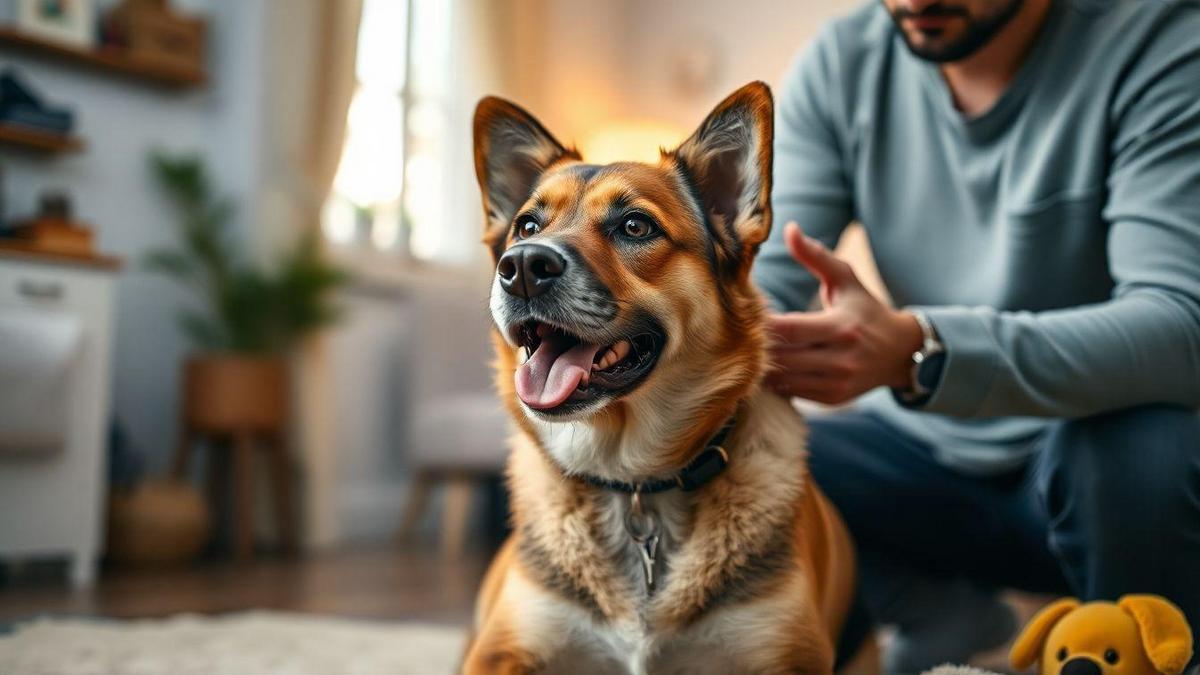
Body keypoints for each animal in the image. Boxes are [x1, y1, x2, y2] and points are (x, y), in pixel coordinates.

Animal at [460, 81, 873, 667]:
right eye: (528, 226)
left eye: (635, 226)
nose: (520, 268)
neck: (634, 485)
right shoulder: (498, 653)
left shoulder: (789, 657)